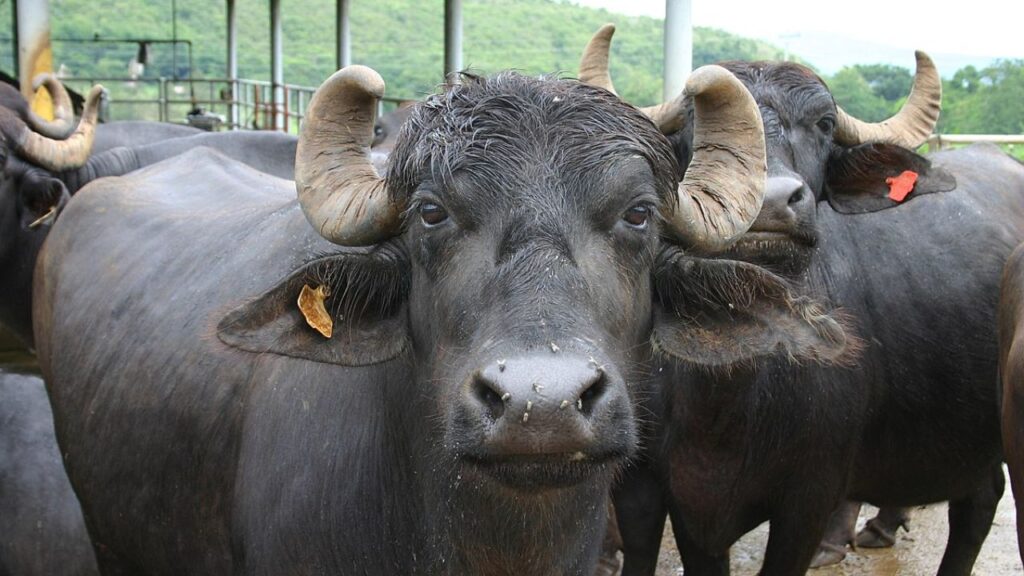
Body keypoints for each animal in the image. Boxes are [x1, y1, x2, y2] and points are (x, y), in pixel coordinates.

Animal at [582, 25, 1024, 576]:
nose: (771, 202)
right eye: (694, 125)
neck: (729, 392)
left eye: (824, 124)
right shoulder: (660, 494)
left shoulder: (809, 498)